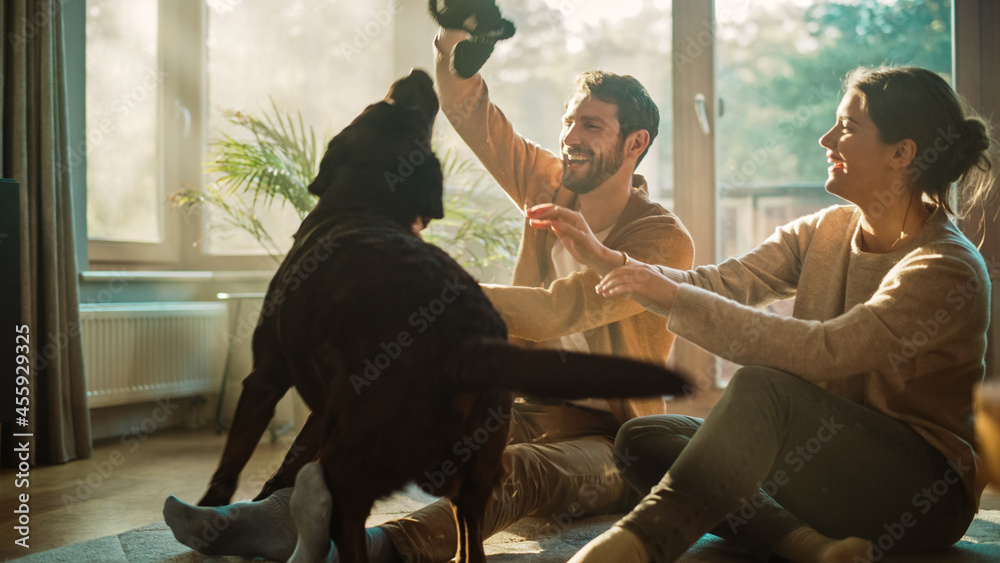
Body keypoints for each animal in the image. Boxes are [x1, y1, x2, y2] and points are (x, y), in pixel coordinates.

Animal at [189, 70, 688, 563]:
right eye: (398, 110)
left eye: (377, 106)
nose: (417, 73)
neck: (364, 204)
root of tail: (462, 344)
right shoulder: (325, 406)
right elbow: (294, 453)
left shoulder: (265, 376)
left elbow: (233, 461)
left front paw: (215, 509)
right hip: (473, 463)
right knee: (469, 535)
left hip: (365, 453)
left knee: (349, 522)